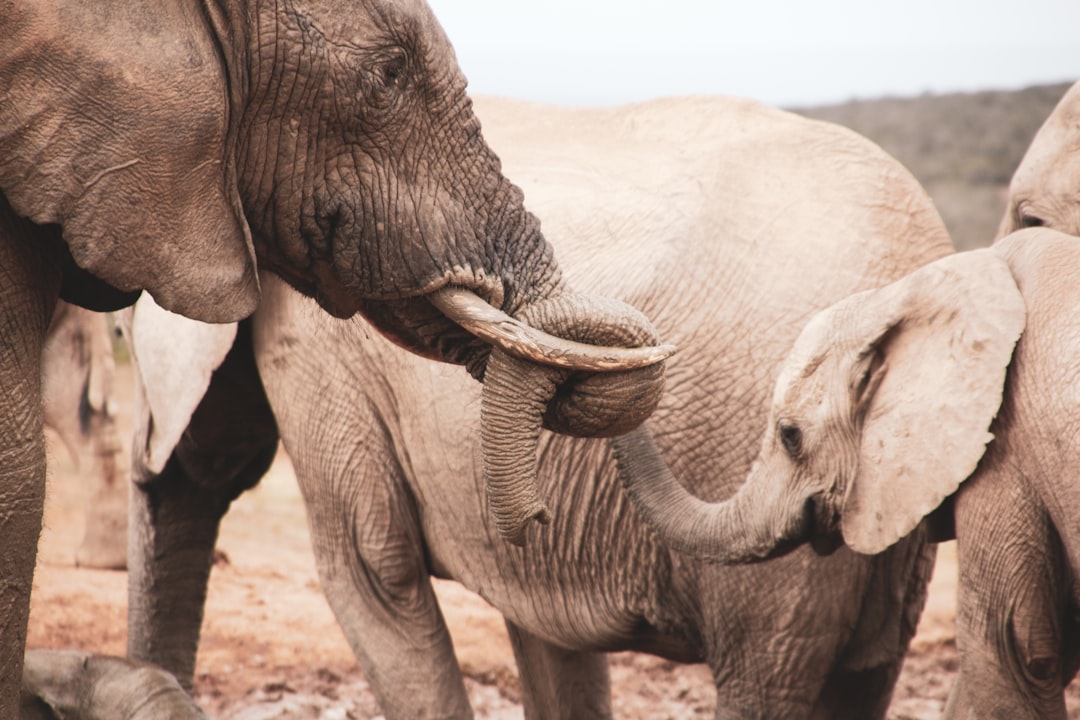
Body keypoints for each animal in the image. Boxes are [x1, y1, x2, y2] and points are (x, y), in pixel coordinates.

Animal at [124, 95, 954, 720]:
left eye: (123, 335)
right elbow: (544, 635)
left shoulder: (323, 352)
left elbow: (372, 571)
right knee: (862, 677)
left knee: (769, 674)